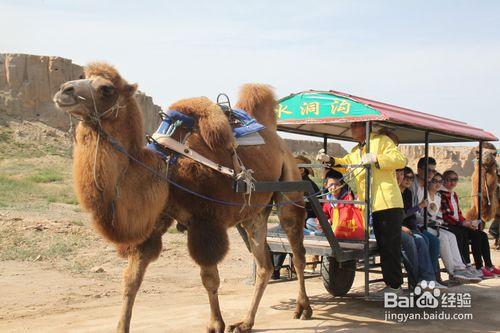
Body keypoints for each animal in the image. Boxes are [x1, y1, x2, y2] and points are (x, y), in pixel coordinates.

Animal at [55, 63, 312, 332]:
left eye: (106, 89)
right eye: (82, 76)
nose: (64, 90)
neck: (166, 169)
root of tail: (275, 136)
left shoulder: (205, 221)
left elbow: (209, 278)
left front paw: (215, 324)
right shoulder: (154, 222)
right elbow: (131, 280)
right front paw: (121, 326)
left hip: (289, 183)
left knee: (298, 249)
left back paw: (302, 308)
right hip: (253, 213)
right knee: (264, 264)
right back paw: (245, 322)